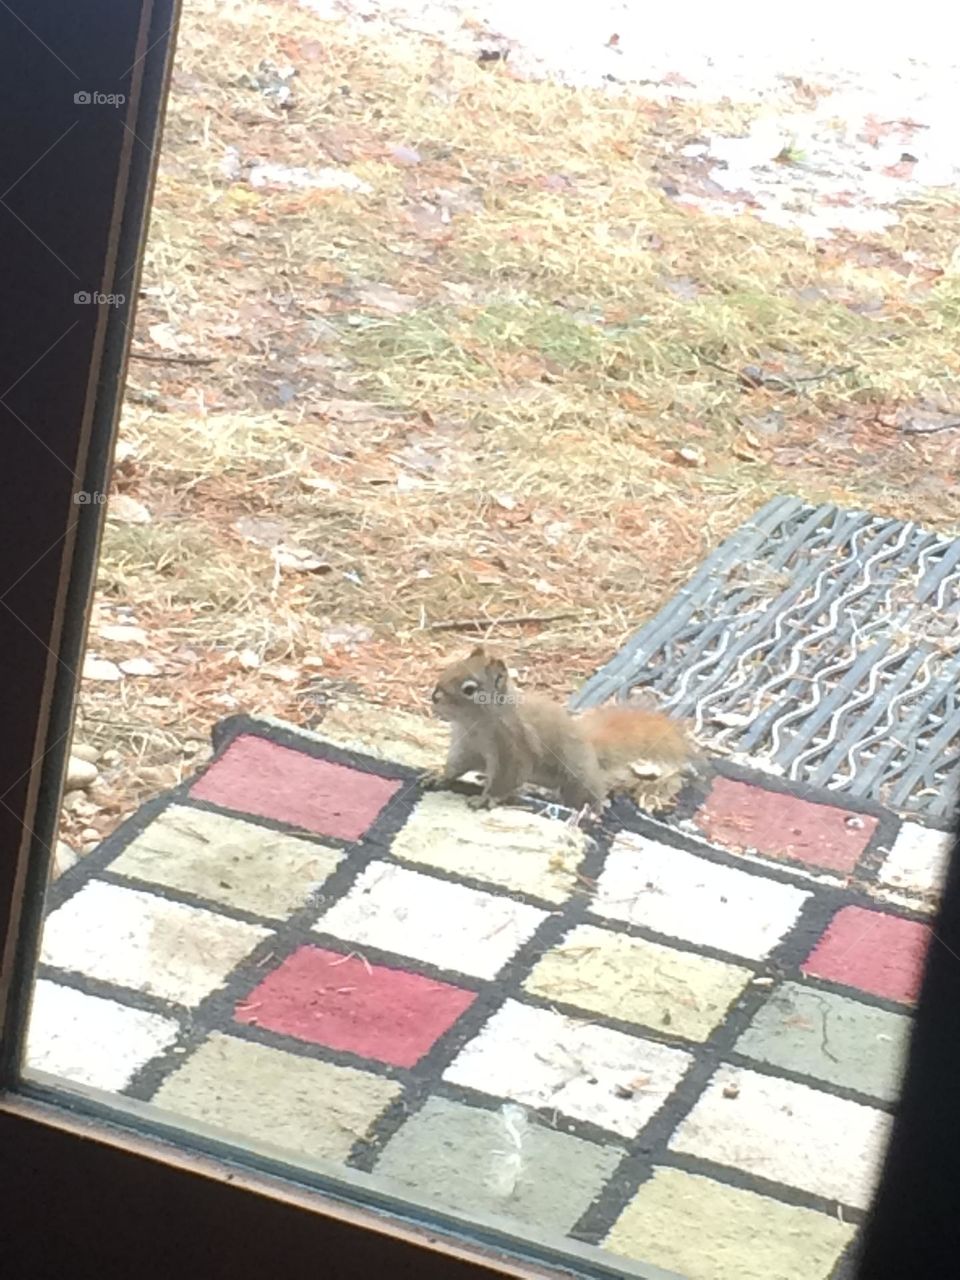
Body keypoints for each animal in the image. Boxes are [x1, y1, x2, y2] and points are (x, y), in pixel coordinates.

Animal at [427, 645, 696, 813]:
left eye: (470, 689)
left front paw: (486, 799)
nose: (434, 696)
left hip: (578, 778)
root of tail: (589, 746)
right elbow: (456, 764)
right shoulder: (466, 745)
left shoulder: (514, 749)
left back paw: (595, 810)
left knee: (591, 793)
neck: (475, 724)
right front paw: (438, 775)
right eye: (452, 666)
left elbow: (505, 779)